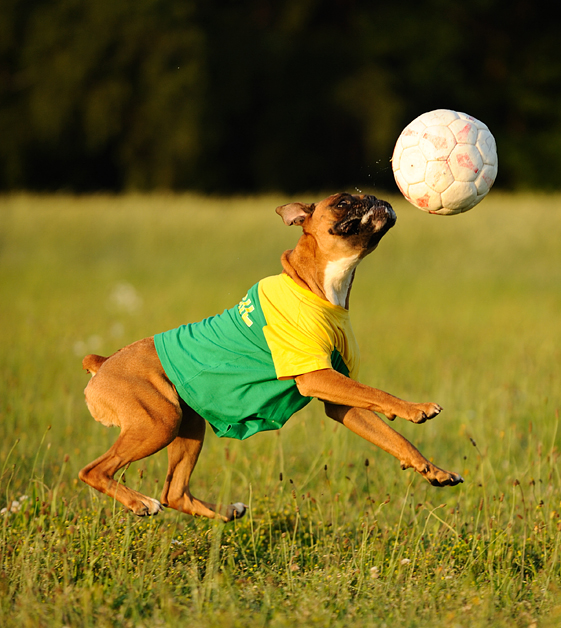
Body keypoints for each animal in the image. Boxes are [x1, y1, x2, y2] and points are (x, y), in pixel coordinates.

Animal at [80, 191, 464, 520]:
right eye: (342, 202)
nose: (373, 196)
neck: (318, 284)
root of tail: (104, 364)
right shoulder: (317, 377)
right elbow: (378, 393)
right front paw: (415, 409)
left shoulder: (341, 401)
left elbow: (395, 438)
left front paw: (434, 471)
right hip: (159, 422)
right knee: (94, 471)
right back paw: (140, 503)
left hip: (187, 425)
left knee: (175, 492)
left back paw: (226, 512)